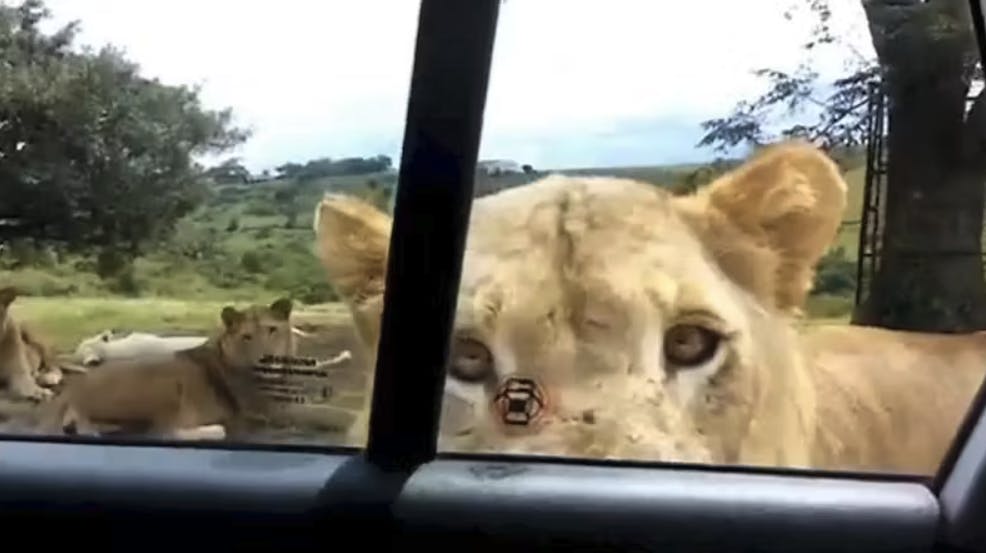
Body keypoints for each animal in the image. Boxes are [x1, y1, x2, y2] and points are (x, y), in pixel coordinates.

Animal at [35, 298, 296, 440]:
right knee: (163, 431)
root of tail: (72, 392)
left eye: (272, 330)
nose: (266, 360)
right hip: (166, 386)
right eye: (247, 336)